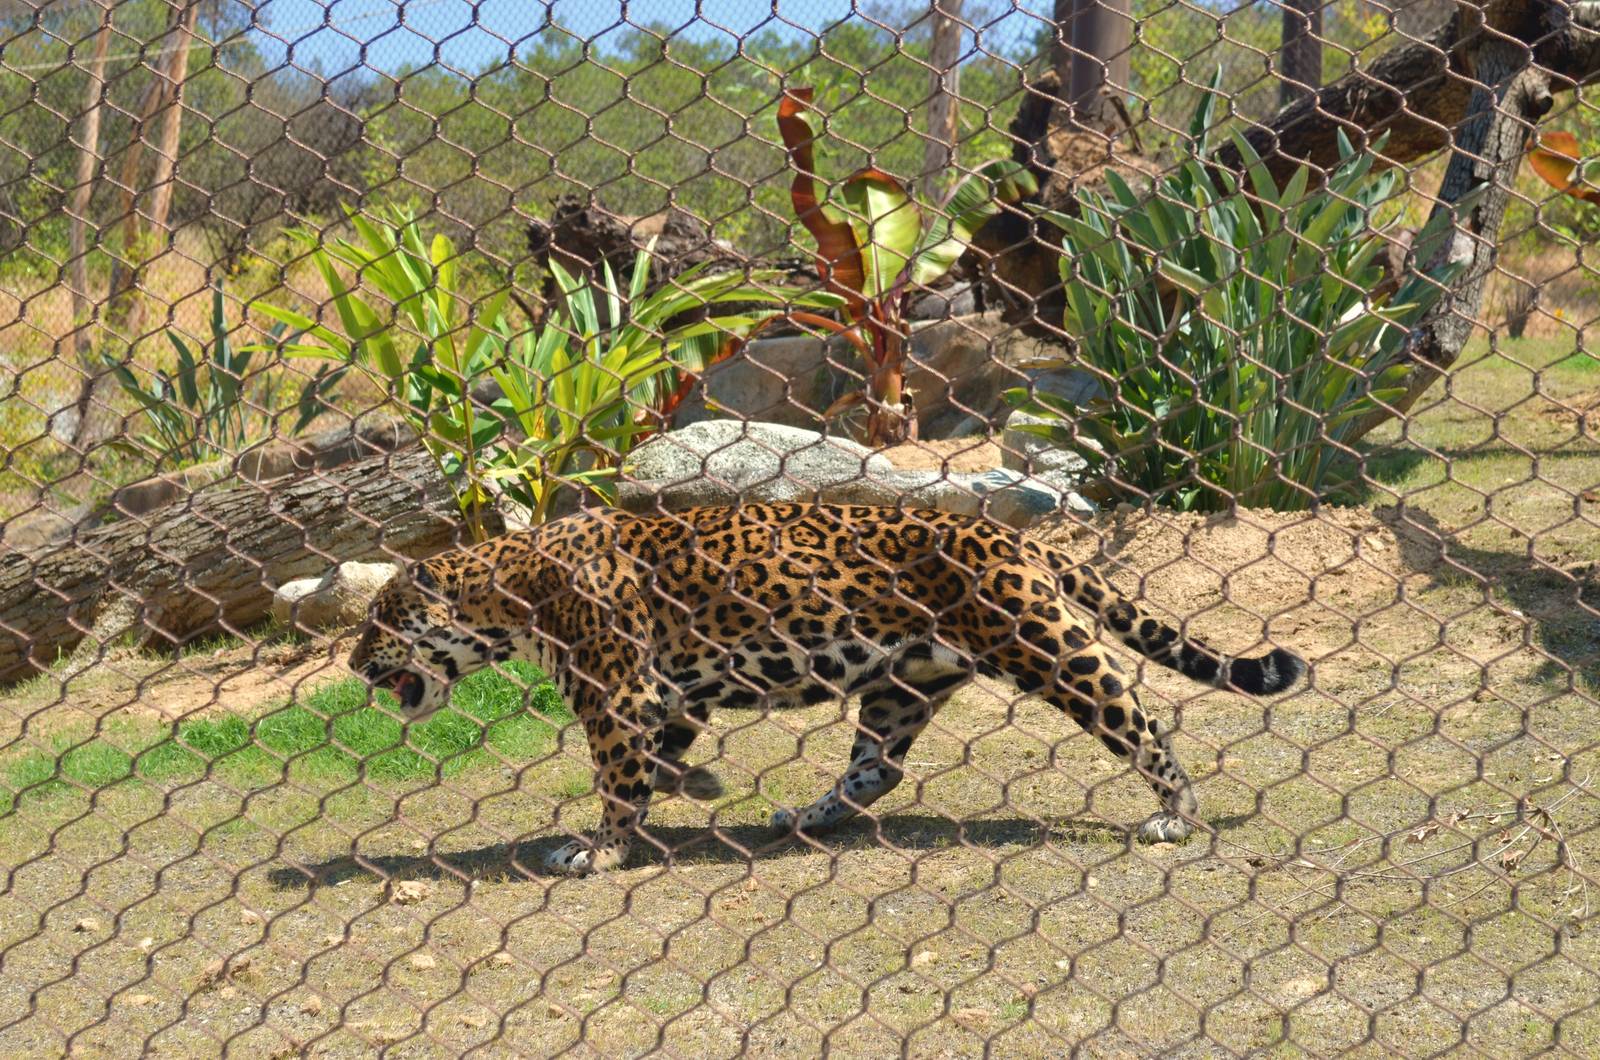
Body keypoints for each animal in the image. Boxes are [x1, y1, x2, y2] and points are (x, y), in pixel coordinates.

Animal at [347, 503, 1305, 875]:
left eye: (378, 622)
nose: (354, 666)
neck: (507, 591)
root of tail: (1015, 537)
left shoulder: (618, 696)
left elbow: (620, 779)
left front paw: (602, 849)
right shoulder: (668, 692)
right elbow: (664, 757)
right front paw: (693, 786)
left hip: (1044, 645)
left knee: (1137, 718)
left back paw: (1176, 813)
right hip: (903, 681)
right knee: (879, 768)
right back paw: (806, 817)